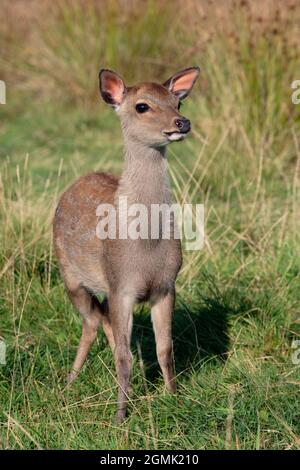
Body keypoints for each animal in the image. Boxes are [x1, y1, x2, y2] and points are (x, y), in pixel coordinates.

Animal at [54, 66, 199, 422]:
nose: (182, 123)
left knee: (103, 318)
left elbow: (165, 349)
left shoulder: (166, 285)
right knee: (92, 320)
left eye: (178, 101)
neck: (144, 248)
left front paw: (174, 398)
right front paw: (120, 417)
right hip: (69, 273)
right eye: (142, 106)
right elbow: (125, 355)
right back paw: (70, 381)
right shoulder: (122, 285)